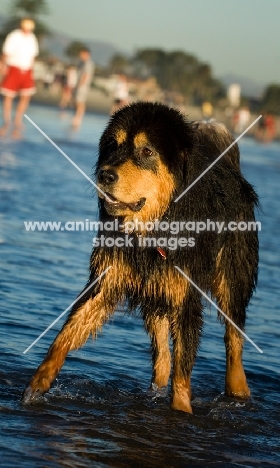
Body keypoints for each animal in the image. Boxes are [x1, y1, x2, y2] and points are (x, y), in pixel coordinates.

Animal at [21, 100, 258, 412]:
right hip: (155, 295)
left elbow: (183, 370)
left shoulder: (185, 298)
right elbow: (64, 336)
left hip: (231, 278)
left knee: (233, 339)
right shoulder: (108, 278)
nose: (104, 175)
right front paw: (37, 383)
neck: (152, 227)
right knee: (162, 357)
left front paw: (181, 411)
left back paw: (239, 391)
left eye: (146, 151)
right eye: (113, 146)